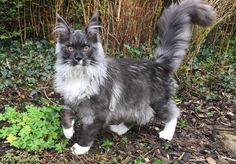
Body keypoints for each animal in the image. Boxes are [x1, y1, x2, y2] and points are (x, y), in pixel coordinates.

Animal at [53, 0, 216, 155]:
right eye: (70, 48)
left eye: (86, 47)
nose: (78, 58)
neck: (79, 75)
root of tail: (158, 64)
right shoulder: (71, 98)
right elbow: (64, 113)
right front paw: (68, 131)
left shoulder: (99, 111)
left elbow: (88, 131)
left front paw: (81, 147)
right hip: (134, 102)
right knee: (139, 116)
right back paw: (119, 128)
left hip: (158, 102)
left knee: (173, 113)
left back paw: (167, 134)